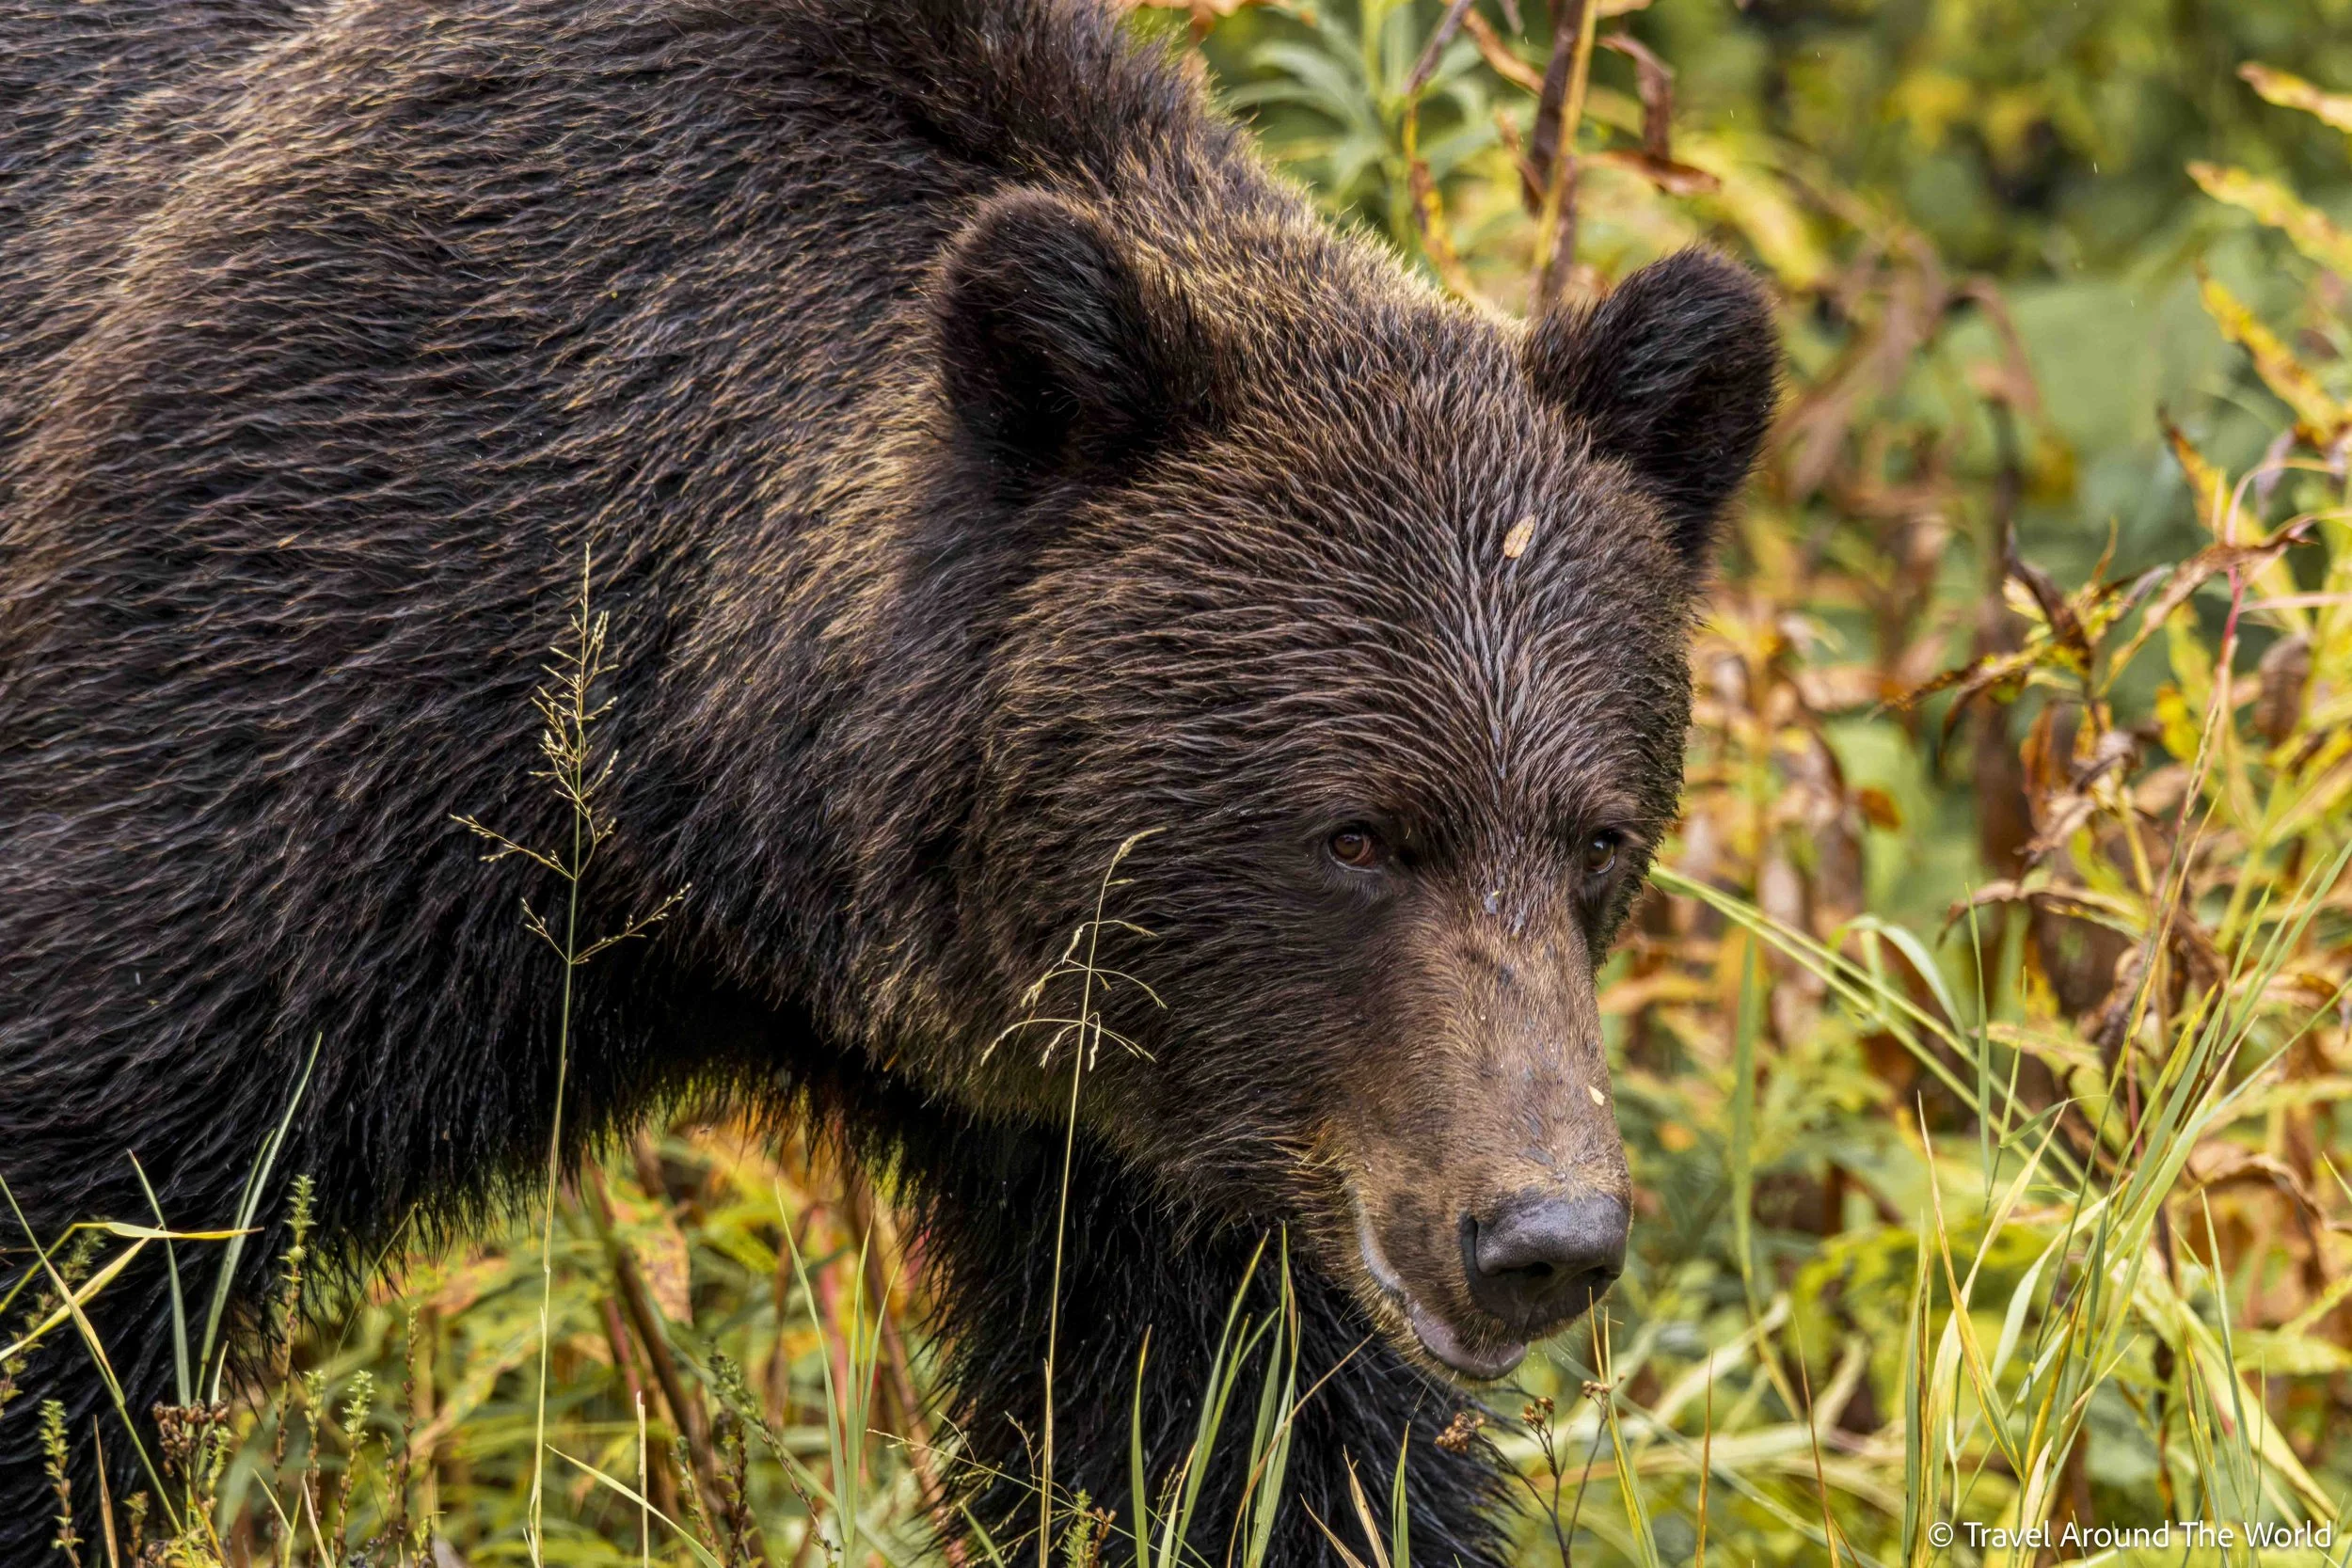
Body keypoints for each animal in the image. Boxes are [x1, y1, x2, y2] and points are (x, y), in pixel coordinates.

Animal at [0, 0, 1778, 1561]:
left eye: (1597, 835)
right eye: (1355, 834)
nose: (1540, 1237)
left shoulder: (1169, 1129)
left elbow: (1249, 1442)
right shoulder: (289, 672)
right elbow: (82, 1207)